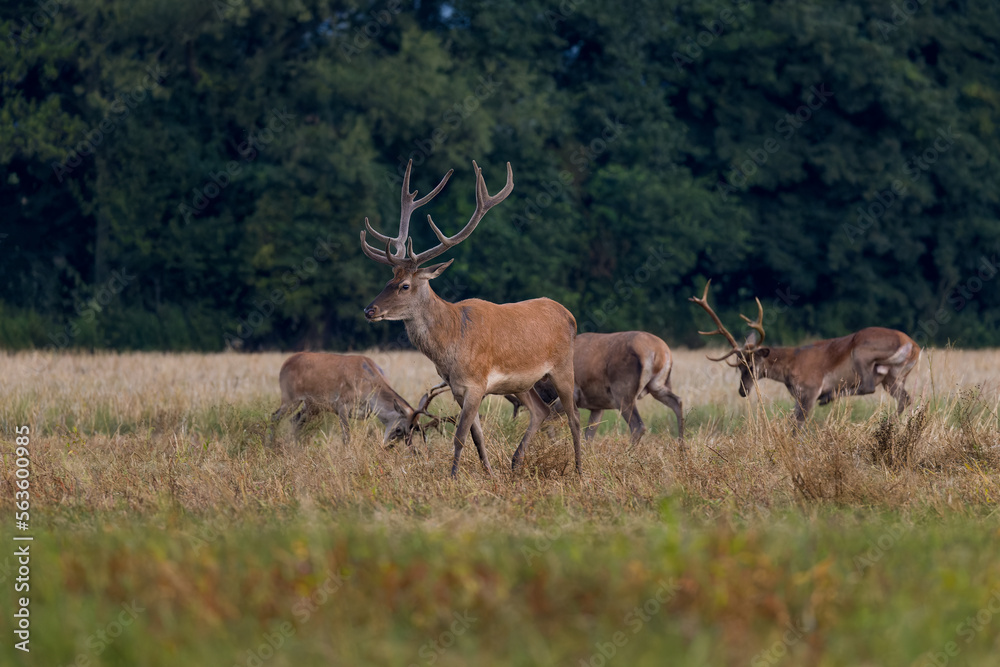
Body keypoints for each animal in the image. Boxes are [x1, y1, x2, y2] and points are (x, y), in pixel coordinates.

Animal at [267, 352, 449, 447]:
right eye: (399, 430)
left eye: (413, 431)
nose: (387, 446)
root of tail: (285, 363)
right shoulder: (341, 405)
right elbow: (346, 437)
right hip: (290, 397)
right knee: (274, 416)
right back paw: (270, 445)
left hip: (312, 406)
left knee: (294, 421)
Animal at [360, 159, 583, 477]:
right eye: (388, 280)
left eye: (404, 285)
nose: (369, 310)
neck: (451, 345)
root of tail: (568, 314)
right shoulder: (457, 388)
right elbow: (477, 436)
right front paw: (489, 473)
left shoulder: (476, 384)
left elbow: (460, 435)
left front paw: (452, 476)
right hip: (522, 383)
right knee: (541, 411)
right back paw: (515, 463)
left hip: (563, 366)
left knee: (573, 416)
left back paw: (579, 468)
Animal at [506, 332, 684, 443]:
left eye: (537, 385)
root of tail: (660, 352)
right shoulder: (598, 406)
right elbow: (589, 437)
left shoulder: (573, 395)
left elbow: (548, 423)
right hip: (658, 386)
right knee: (678, 402)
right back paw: (681, 448)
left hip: (623, 392)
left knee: (638, 426)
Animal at [689, 280, 921, 423]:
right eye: (738, 368)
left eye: (751, 366)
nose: (742, 391)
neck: (790, 367)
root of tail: (913, 346)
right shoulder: (798, 396)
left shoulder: (810, 388)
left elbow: (798, 425)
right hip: (894, 377)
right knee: (905, 399)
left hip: (862, 353)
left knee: (868, 386)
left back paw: (829, 397)